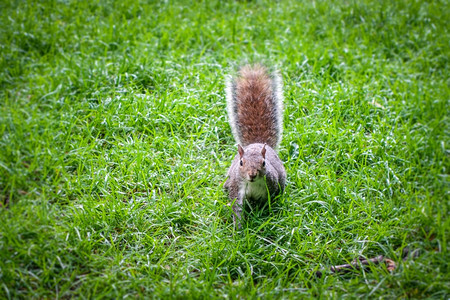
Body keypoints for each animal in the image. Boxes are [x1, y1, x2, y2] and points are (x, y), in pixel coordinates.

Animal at [223, 64, 286, 229]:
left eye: (263, 163)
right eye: (241, 163)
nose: (252, 174)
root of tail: (256, 143)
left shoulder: (271, 186)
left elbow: (267, 203)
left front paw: (263, 215)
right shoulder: (236, 188)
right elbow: (236, 207)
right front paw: (238, 227)